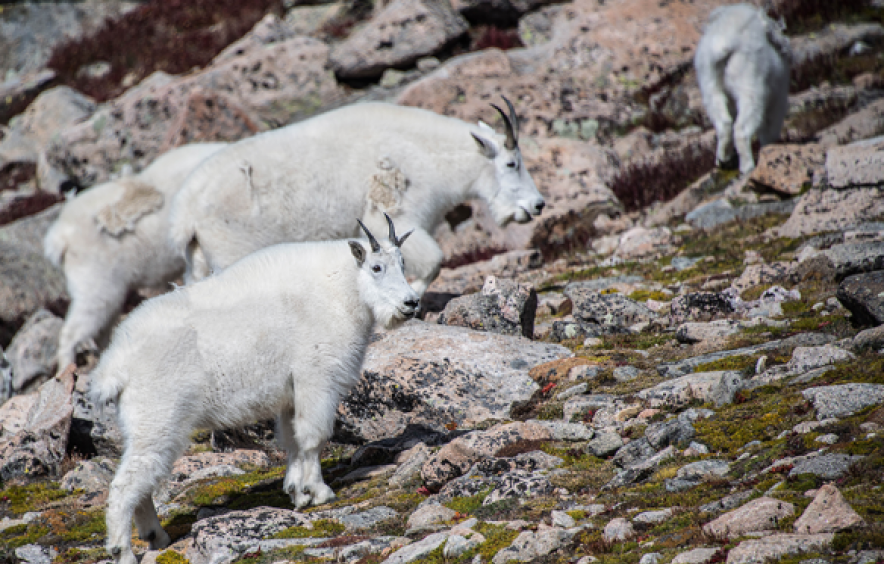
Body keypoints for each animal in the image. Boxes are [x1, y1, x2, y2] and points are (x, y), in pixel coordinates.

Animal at [91, 215, 420, 564]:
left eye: (402, 263)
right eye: (376, 267)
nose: (411, 302)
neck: (343, 289)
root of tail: (115, 364)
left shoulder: (292, 394)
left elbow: (292, 440)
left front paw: (296, 492)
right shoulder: (317, 379)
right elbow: (314, 438)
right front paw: (319, 493)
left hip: (142, 425)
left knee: (141, 478)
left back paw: (156, 536)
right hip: (158, 419)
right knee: (126, 484)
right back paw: (124, 550)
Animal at [167, 98, 544, 290]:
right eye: (511, 163)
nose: (537, 205)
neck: (427, 154)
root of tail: (184, 211)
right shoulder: (390, 217)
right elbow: (434, 263)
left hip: (199, 258)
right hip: (230, 252)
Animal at [696, 3, 792, 174]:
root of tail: (724, 44)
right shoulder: (777, 97)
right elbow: (770, 125)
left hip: (710, 85)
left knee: (724, 123)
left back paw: (723, 160)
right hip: (751, 86)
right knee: (742, 128)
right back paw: (747, 166)